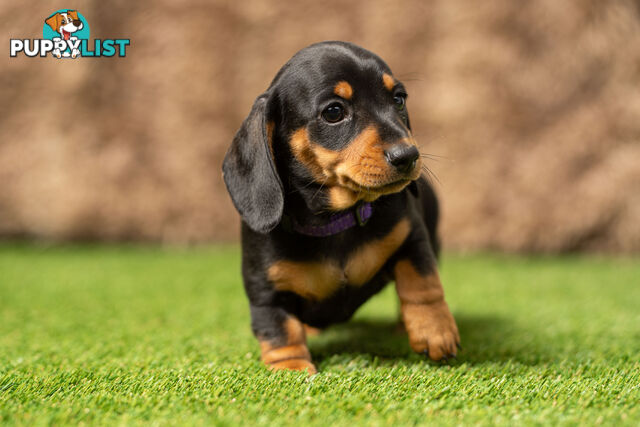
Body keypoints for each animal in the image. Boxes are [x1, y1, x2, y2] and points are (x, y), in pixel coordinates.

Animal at [222, 41, 458, 374]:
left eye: (398, 99)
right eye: (334, 112)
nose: (408, 156)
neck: (336, 220)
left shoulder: (412, 237)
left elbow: (422, 282)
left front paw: (435, 331)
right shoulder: (265, 290)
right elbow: (279, 328)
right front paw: (290, 368)